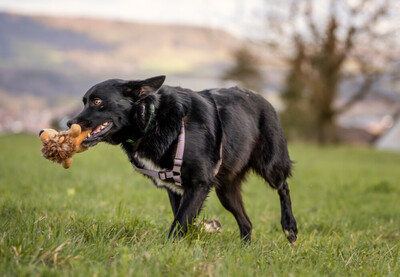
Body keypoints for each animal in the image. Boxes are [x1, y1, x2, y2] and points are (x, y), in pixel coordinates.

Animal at [67, 75, 296, 242]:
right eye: (84, 102)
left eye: (97, 102)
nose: (70, 123)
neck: (151, 119)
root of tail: (265, 100)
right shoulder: (176, 189)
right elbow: (183, 218)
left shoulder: (199, 184)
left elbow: (180, 221)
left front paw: (168, 249)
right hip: (226, 190)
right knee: (246, 223)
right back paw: (244, 250)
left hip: (270, 165)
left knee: (283, 187)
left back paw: (290, 227)